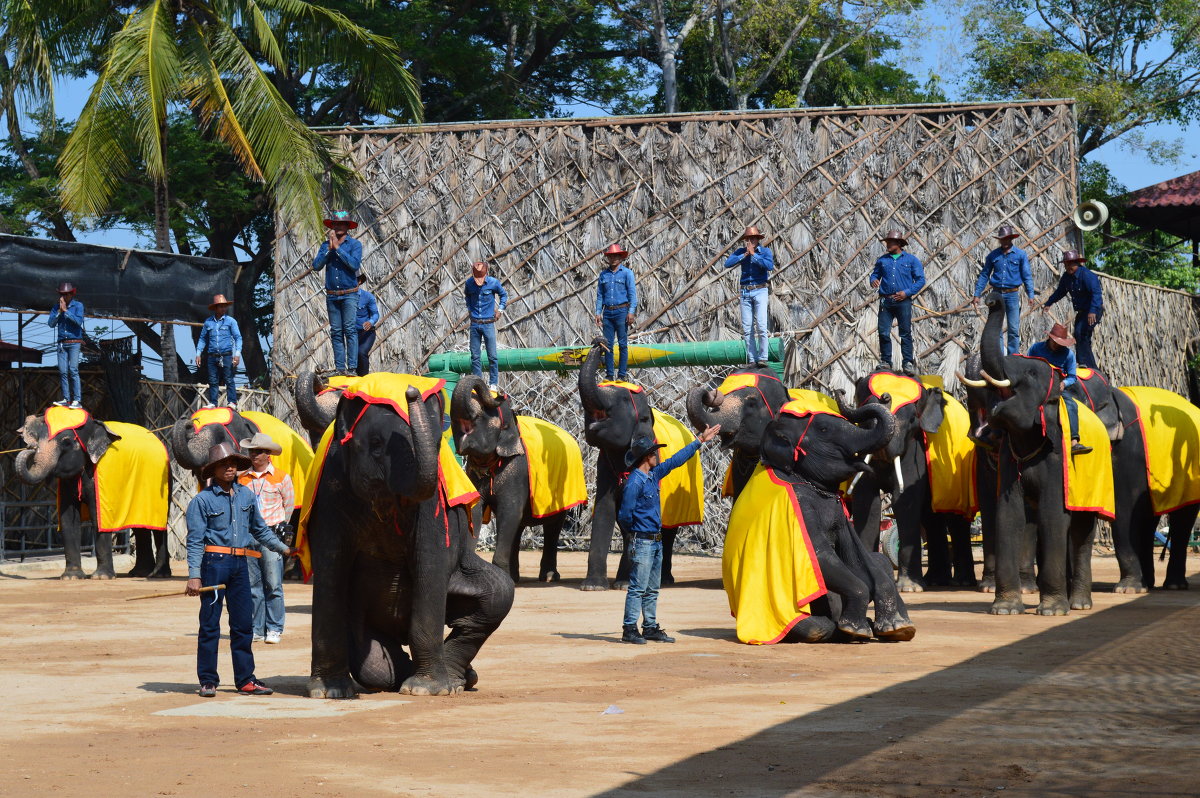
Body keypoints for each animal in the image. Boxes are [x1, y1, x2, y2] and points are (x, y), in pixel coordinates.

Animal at [14, 408, 171, 576]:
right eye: (38, 439)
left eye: (66, 442)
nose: (30, 449)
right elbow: (67, 518)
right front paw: (71, 577)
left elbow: (98, 517)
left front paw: (101, 577)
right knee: (140, 526)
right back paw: (139, 573)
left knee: (159, 526)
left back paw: (159, 574)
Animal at [300, 369, 516, 696]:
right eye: (376, 444)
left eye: (440, 443)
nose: (412, 392)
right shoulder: (330, 490)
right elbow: (330, 568)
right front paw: (330, 692)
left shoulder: (433, 502)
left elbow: (430, 562)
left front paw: (425, 689)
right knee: (375, 667)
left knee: (498, 595)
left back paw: (455, 681)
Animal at [448, 376, 588, 583]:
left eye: (483, 414)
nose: (501, 393)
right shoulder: (472, 473)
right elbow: (475, 511)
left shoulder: (517, 472)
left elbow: (509, 512)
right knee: (520, 527)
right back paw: (515, 577)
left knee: (553, 526)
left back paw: (548, 577)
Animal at [720, 398, 916, 643]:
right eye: (824, 429)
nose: (885, 397)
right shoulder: (799, 503)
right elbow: (820, 555)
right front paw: (856, 629)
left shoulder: (838, 511)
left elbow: (856, 555)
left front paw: (896, 628)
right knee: (816, 628)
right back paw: (839, 629)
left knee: (880, 561)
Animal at [844, 369, 974, 588]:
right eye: (864, 414)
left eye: (913, 419)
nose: (885, 396)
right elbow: (866, 499)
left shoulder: (914, 451)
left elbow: (903, 500)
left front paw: (909, 587)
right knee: (931, 517)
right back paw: (936, 581)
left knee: (955, 519)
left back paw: (961, 582)